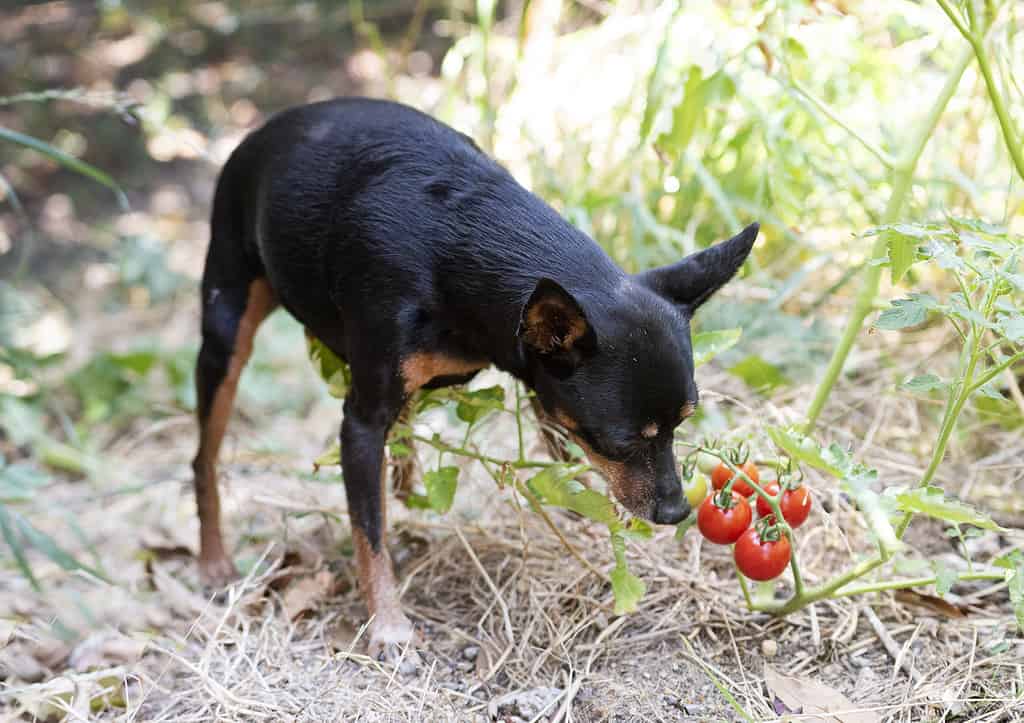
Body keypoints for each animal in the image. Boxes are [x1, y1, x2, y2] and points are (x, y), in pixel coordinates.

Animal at [192, 97, 757, 659]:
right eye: (619, 443)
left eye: (684, 423)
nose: (676, 510)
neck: (457, 242)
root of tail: (272, 123)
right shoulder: (361, 423)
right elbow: (369, 532)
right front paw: (389, 625)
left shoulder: (541, 386)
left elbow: (564, 464)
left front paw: (584, 523)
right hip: (225, 330)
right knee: (205, 457)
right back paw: (214, 561)